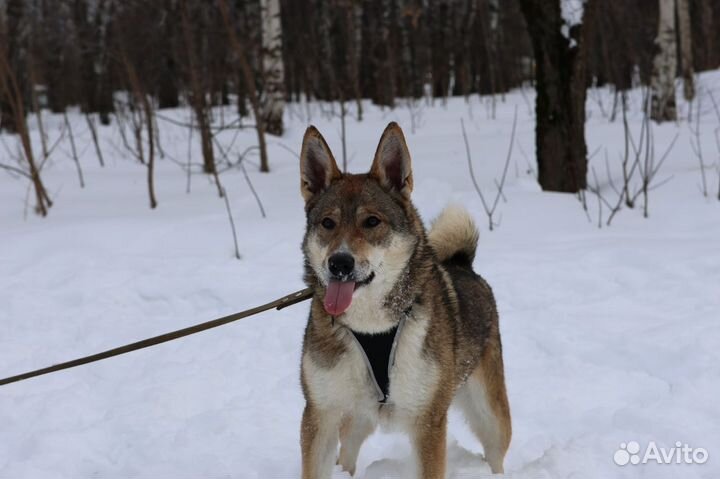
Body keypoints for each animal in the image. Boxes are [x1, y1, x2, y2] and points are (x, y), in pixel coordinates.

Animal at [298, 122, 512, 478]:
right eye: (328, 223)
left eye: (372, 221)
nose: (339, 263)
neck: (370, 327)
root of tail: (462, 263)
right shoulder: (320, 414)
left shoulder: (428, 422)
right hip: (357, 416)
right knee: (348, 451)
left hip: (491, 416)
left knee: (496, 452)